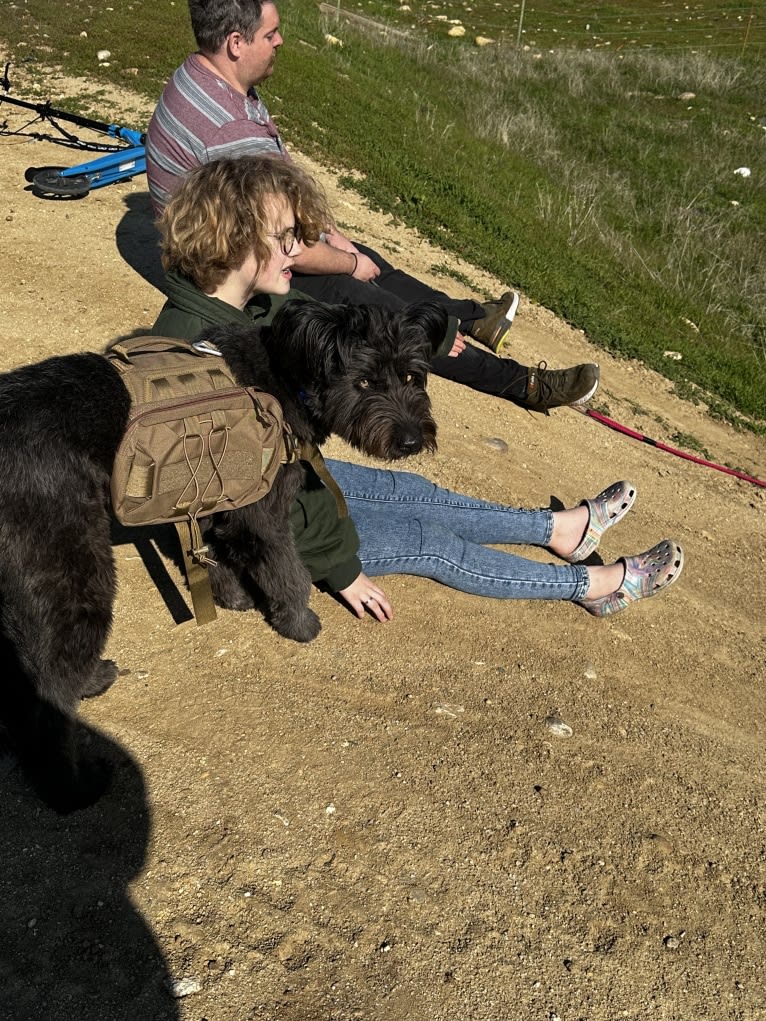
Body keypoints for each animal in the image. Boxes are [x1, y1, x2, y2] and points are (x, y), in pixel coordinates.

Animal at [0, 298, 447, 812]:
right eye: (365, 382)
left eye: (412, 376)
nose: (412, 441)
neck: (285, 373)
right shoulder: (265, 513)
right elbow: (288, 570)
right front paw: (298, 623)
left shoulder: (219, 502)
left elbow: (215, 551)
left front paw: (232, 597)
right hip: (74, 575)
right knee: (50, 689)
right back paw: (75, 786)